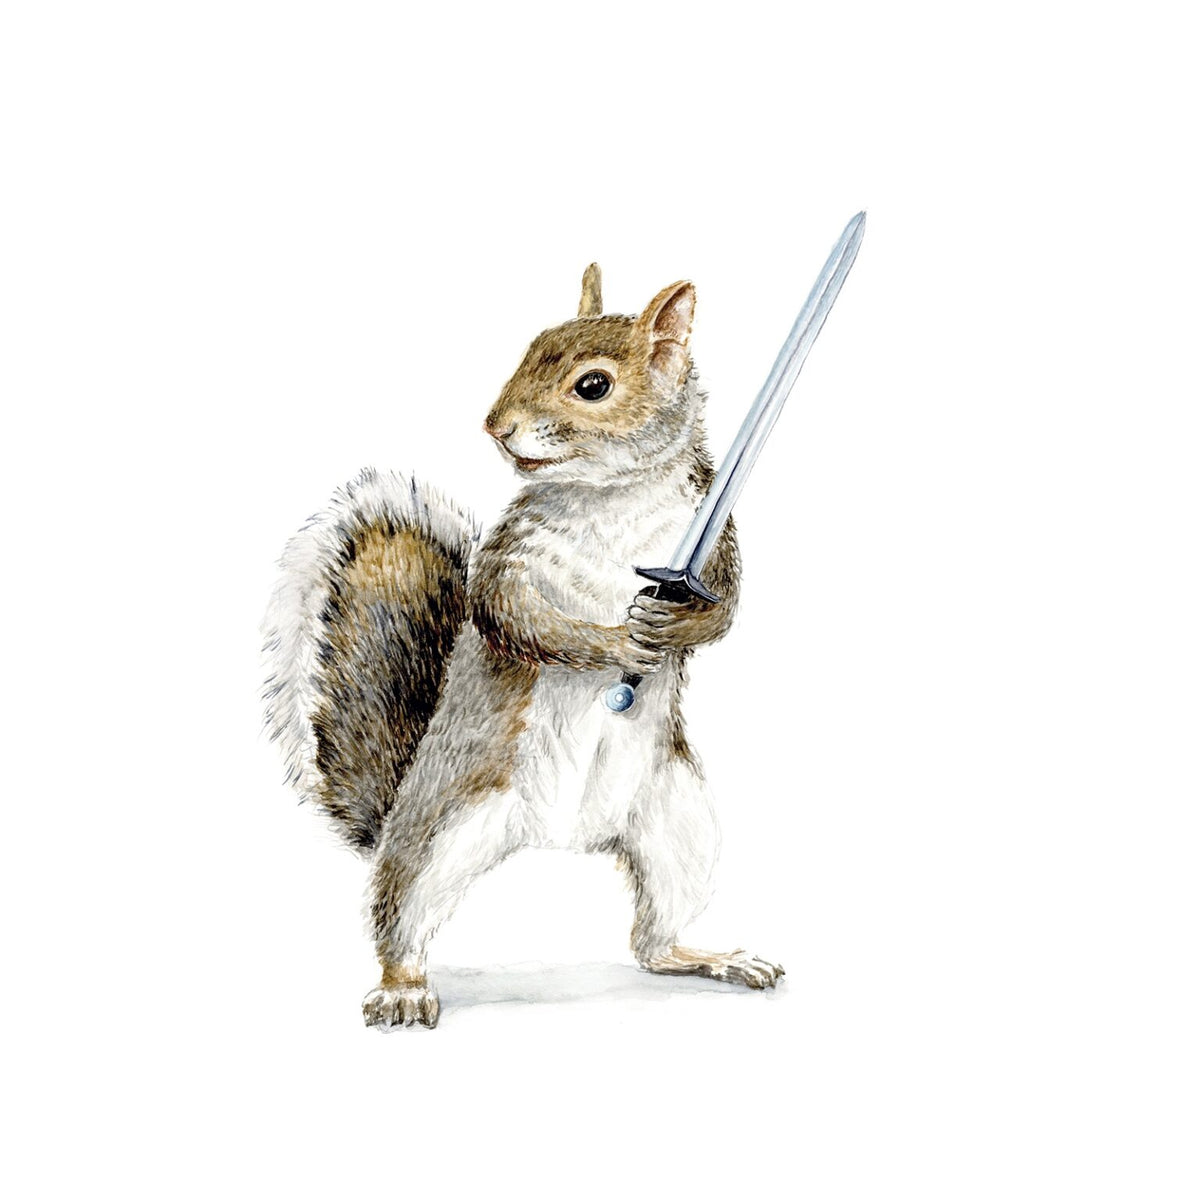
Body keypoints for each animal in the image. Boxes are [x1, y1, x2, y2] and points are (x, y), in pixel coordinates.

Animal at [262, 264, 784, 1028]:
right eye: (529, 348)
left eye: (593, 384)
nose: (495, 425)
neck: (613, 495)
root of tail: (564, 838)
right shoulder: (513, 559)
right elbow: (518, 620)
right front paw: (617, 639)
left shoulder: (711, 534)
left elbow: (724, 607)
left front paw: (671, 628)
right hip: (438, 832)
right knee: (401, 917)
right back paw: (402, 988)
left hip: (679, 823)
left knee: (653, 940)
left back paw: (711, 957)